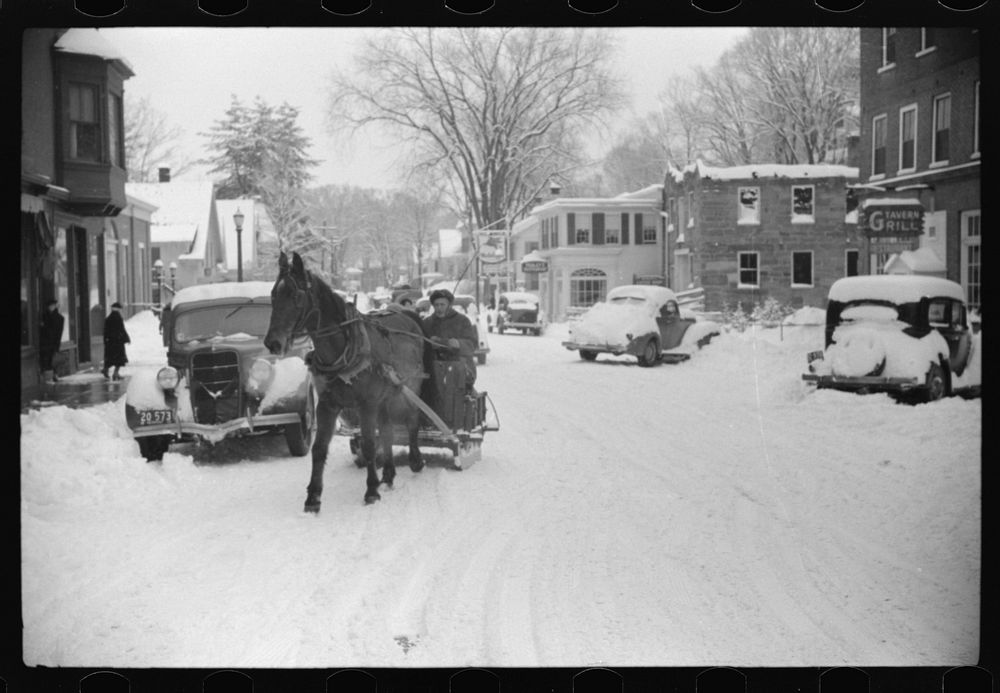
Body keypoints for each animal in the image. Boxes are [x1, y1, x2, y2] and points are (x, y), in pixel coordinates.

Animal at [266, 251, 426, 510]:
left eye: (295, 295)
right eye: (273, 294)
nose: (272, 343)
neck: (343, 349)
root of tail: (408, 317)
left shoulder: (366, 404)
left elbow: (369, 445)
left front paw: (371, 490)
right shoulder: (327, 404)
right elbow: (319, 448)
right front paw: (313, 497)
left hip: (409, 387)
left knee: (412, 420)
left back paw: (415, 460)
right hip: (384, 397)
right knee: (388, 430)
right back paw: (389, 474)